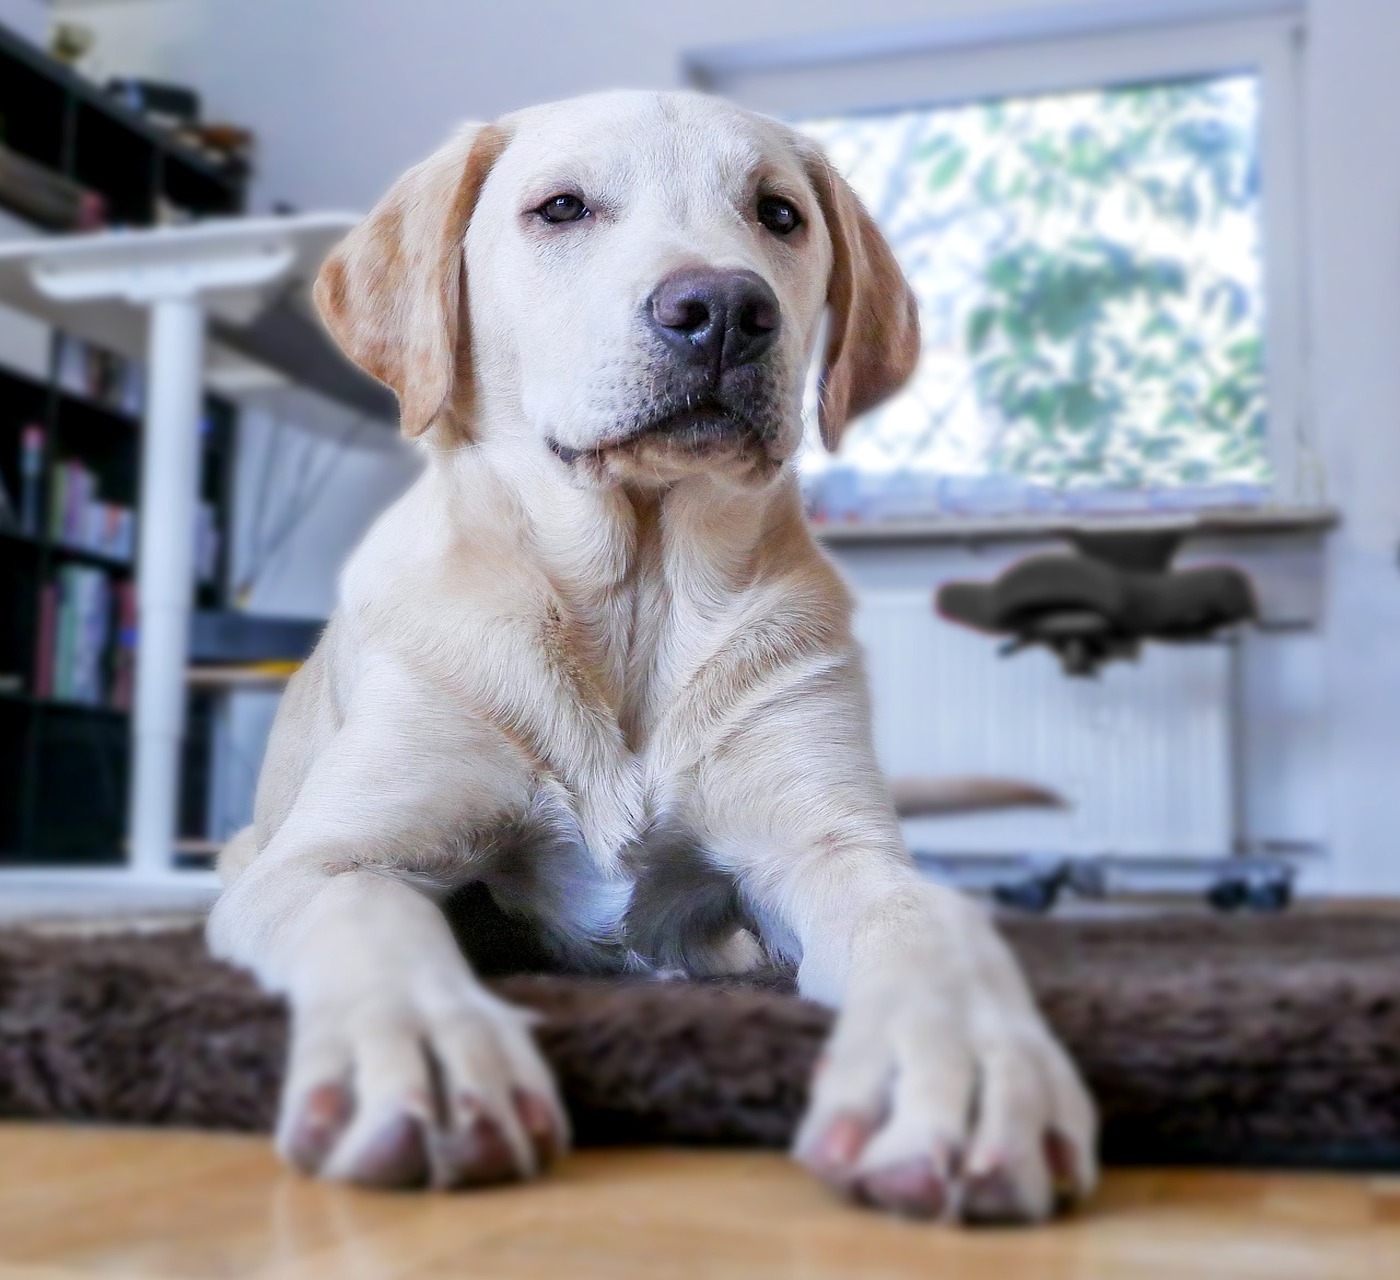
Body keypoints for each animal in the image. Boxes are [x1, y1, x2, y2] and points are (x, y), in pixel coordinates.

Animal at [212, 84, 1097, 1221]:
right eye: (560, 208)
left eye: (777, 214)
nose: (723, 308)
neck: (635, 599)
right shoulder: (319, 859)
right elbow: (369, 912)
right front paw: (426, 1054)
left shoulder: (834, 845)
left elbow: (928, 926)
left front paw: (968, 1071)